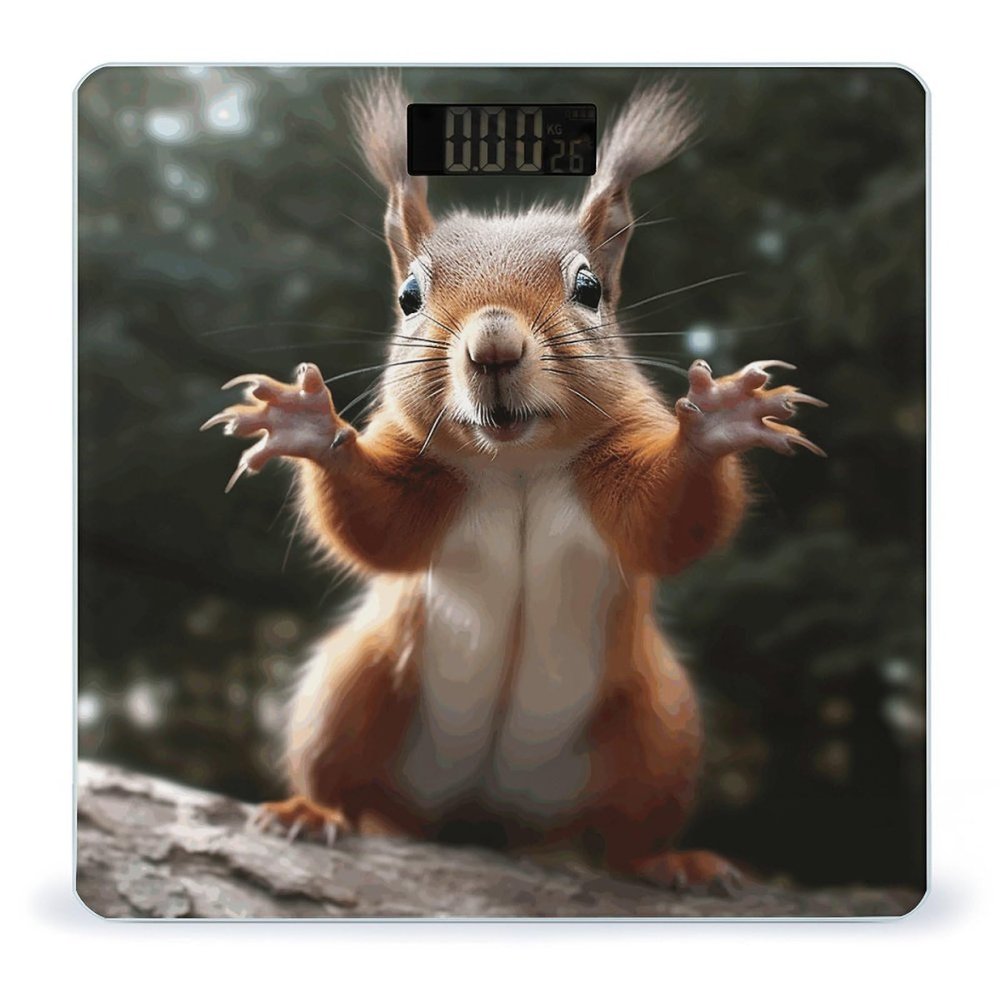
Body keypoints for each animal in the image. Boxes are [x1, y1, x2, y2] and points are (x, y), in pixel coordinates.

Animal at [202, 77, 825, 893]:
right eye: (408, 296)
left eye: (589, 287)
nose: (493, 344)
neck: (517, 463)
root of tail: (490, 817)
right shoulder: (422, 478)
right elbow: (378, 528)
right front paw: (309, 425)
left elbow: (666, 524)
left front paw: (716, 423)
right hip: (350, 688)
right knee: (341, 779)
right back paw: (310, 811)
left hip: (659, 728)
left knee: (628, 834)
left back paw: (671, 860)